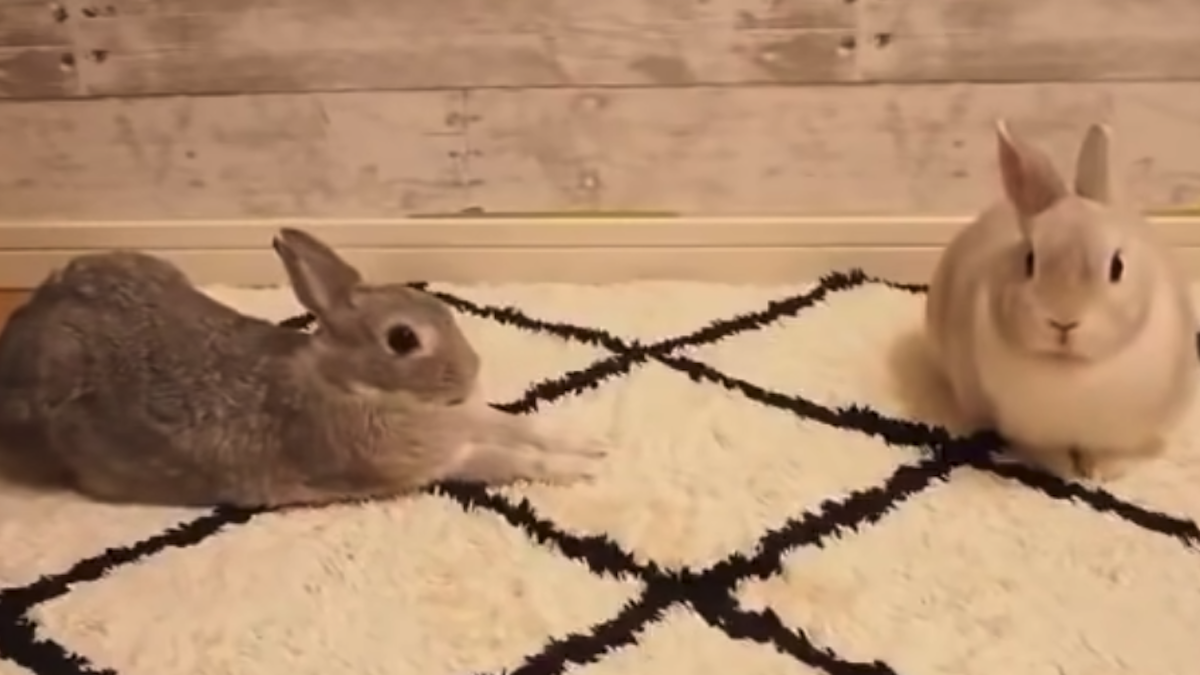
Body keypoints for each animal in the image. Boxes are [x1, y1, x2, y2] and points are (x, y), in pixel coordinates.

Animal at [0, 228, 608, 507]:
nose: (468, 372)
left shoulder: (464, 420)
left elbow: (514, 423)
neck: (351, 385)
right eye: (403, 339)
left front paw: (586, 444)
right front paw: (577, 471)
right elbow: (510, 458)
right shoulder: (426, 464)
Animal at [924, 120, 1197, 481]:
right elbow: (1047, 452)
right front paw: (1064, 471)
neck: (1072, 368)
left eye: (1117, 267)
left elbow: (1110, 452)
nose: (1063, 322)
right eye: (1029, 261)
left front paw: (1101, 473)